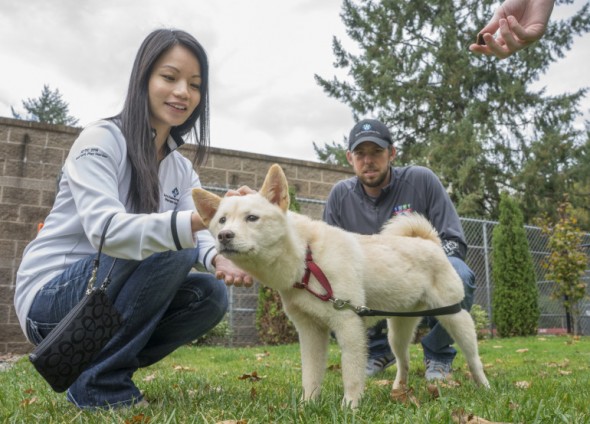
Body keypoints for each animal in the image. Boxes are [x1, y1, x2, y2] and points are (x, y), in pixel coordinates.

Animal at [194, 163, 490, 408]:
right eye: (221, 220)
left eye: (252, 218)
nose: (224, 236)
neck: (308, 258)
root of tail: (429, 242)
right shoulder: (310, 332)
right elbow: (311, 375)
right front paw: (307, 405)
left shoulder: (348, 325)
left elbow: (351, 374)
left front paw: (350, 406)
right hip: (399, 329)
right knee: (403, 361)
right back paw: (399, 391)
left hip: (454, 317)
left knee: (473, 358)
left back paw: (483, 386)